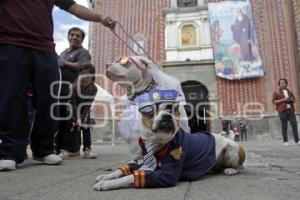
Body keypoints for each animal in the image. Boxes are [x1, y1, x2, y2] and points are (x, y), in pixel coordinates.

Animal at [94, 89, 246, 191]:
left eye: (173, 109)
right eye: (151, 110)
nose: (167, 116)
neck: (155, 142)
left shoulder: (166, 174)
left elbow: (130, 177)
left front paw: (106, 184)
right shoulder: (143, 161)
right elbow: (123, 170)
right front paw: (105, 177)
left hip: (231, 149)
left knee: (239, 166)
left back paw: (230, 170)